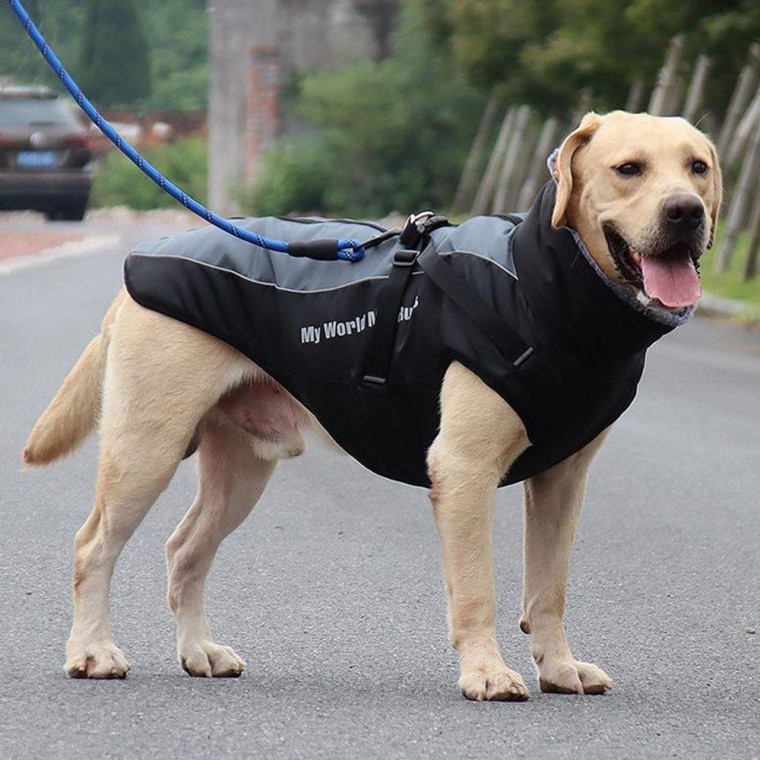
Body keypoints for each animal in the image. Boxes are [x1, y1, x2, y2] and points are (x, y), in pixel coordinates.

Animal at [23, 110, 720, 696]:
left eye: (698, 167)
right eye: (628, 169)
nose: (687, 212)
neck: (544, 285)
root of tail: (141, 265)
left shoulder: (562, 479)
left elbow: (549, 589)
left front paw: (558, 667)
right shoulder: (463, 470)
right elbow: (479, 589)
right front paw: (487, 673)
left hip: (241, 470)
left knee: (184, 551)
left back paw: (200, 652)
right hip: (147, 448)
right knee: (93, 546)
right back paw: (92, 653)